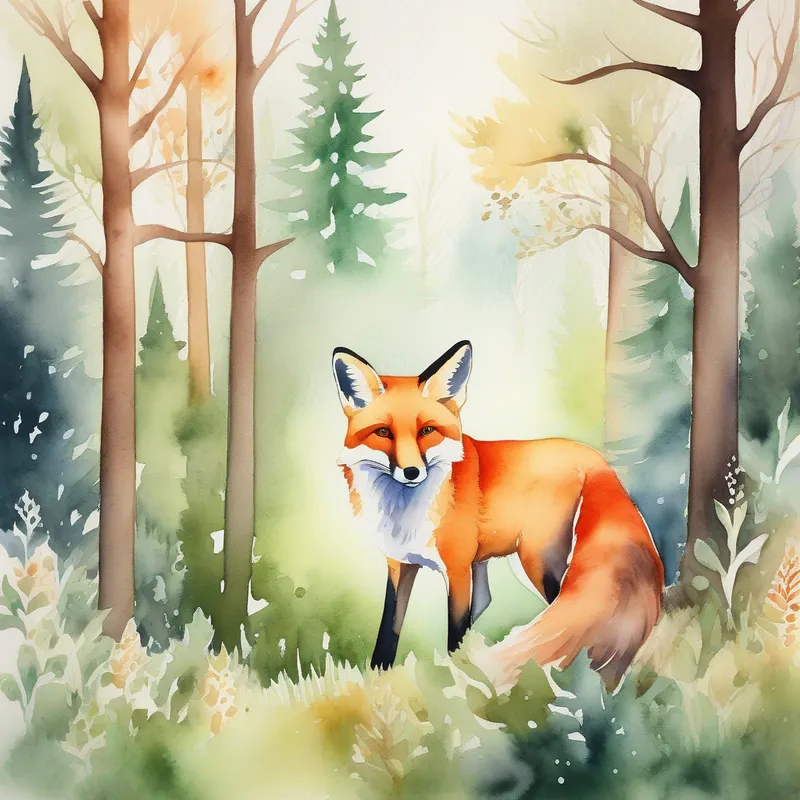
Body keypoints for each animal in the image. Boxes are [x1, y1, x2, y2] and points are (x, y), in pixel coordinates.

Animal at [332, 340, 664, 692]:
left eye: (427, 431)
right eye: (383, 432)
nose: (411, 472)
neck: (406, 512)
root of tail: (593, 457)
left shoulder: (458, 569)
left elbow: (456, 636)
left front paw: (458, 686)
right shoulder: (400, 564)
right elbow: (389, 630)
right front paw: (378, 682)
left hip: (536, 562)